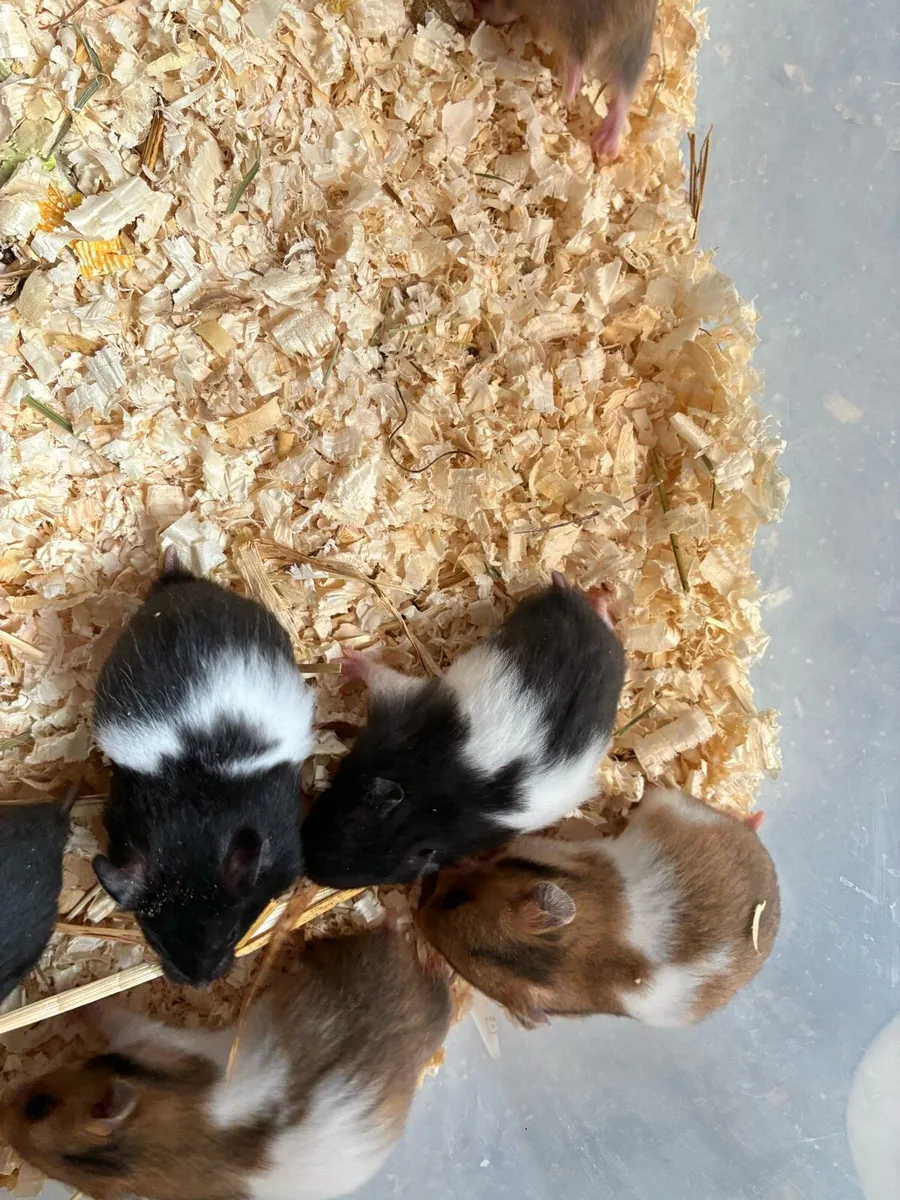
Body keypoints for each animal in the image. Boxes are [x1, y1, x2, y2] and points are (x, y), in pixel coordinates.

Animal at [2, 931, 450, 1200]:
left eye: (39, 1104)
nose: (3, 1108)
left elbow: (112, 1014)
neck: (146, 1151)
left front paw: (71, 1002)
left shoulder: (157, 1039)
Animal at [302, 572, 625, 888]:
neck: (427, 802)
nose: (309, 870)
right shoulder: (402, 710)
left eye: (376, 877)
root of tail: (568, 602)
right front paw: (342, 659)